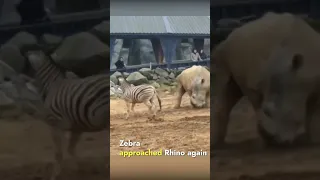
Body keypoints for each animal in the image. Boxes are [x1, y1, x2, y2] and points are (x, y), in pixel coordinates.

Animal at [21, 50, 109, 180]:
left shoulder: (55, 124)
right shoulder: (77, 127)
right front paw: (83, 169)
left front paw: (54, 175)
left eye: (27, 65)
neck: (52, 85)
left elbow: (58, 153)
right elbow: (70, 149)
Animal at [212, 12, 320, 148]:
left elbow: (313, 112)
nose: (280, 142)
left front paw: (313, 140)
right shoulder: (256, 81)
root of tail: (228, 36)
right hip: (228, 53)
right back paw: (217, 144)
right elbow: (257, 103)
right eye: (268, 112)